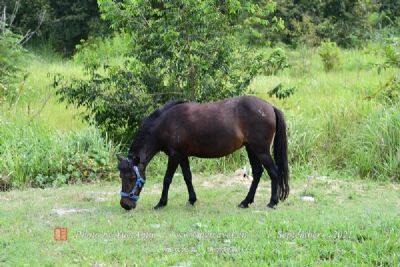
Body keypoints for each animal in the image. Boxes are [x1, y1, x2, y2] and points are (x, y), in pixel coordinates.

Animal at [117, 96, 290, 211]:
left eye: (132, 177)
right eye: (121, 176)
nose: (125, 205)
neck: (166, 123)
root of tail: (269, 106)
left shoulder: (174, 155)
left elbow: (167, 179)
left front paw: (161, 203)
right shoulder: (182, 155)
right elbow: (187, 177)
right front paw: (192, 200)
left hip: (261, 150)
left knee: (273, 172)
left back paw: (272, 202)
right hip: (251, 149)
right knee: (258, 172)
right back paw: (245, 202)